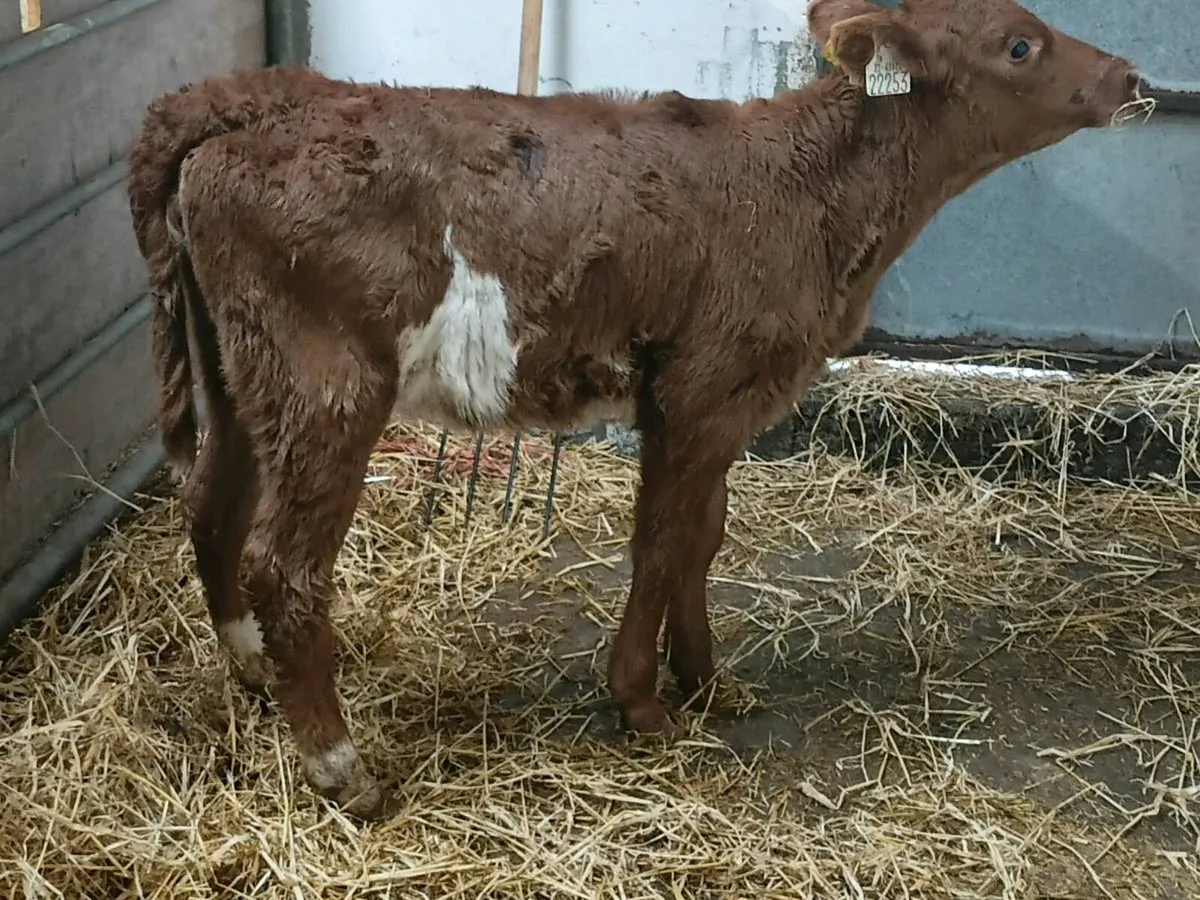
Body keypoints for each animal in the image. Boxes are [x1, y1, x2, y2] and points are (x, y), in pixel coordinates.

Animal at [126, 0, 1150, 817]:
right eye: (1020, 45)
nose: (1134, 80)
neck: (809, 188)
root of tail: (245, 98)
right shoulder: (700, 389)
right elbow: (659, 545)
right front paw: (643, 703)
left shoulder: (722, 402)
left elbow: (702, 537)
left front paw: (706, 679)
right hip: (326, 382)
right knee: (284, 564)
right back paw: (343, 770)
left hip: (243, 369)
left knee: (212, 507)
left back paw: (250, 672)